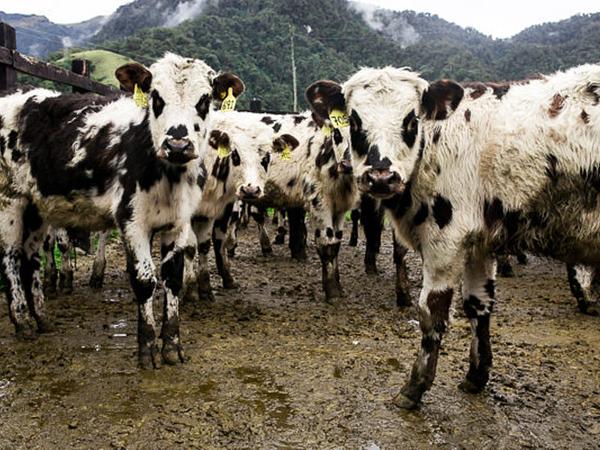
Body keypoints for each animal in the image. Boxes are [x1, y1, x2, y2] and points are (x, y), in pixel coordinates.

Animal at [0, 52, 244, 370]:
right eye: (156, 97)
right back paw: (22, 321)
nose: (177, 144)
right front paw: (147, 348)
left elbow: (172, 278)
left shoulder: (179, 222)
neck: (167, 174)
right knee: (10, 257)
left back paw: (41, 317)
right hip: (10, 199)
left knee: (31, 259)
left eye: (204, 99)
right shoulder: (133, 221)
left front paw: (171, 345)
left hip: (37, 206)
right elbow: (145, 280)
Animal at [308, 66, 600, 408]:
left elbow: (431, 312)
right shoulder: (479, 244)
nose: (381, 176)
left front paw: (415, 387)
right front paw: (476, 375)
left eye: (411, 119)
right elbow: (478, 304)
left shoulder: (444, 242)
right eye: (354, 121)